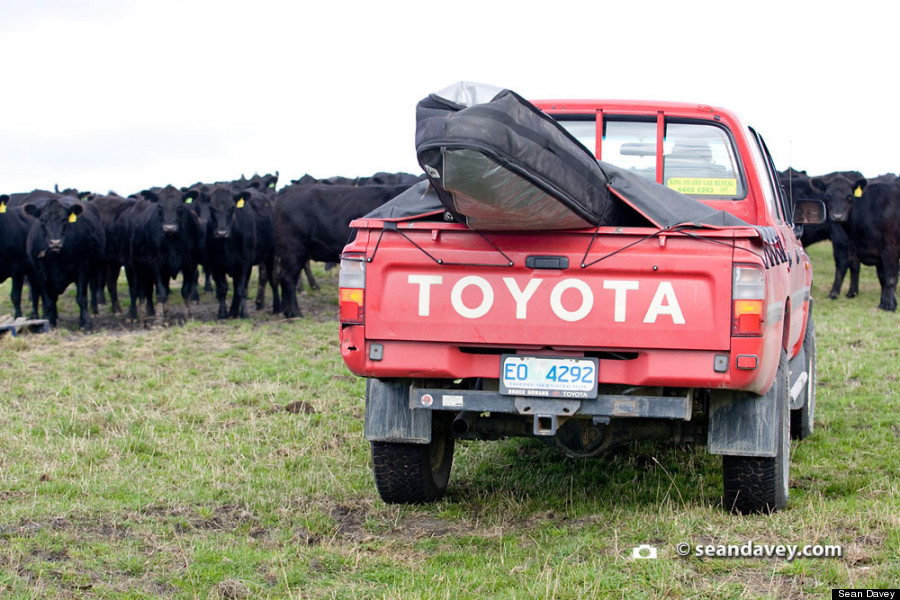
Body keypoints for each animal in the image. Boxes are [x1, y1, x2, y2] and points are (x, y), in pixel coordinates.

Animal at [23, 196, 105, 328]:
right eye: (43, 220)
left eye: (64, 220)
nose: (55, 243)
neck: (57, 260)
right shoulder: (39, 273)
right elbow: (48, 301)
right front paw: (48, 323)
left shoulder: (83, 268)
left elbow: (81, 298)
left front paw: (87, 323)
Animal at [207, 186, 280, 318]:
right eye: (211, 208)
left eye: (232, 208)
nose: (221, 233)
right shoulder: (215, 264)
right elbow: (222, 288)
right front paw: (222, 313)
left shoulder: (246, 263)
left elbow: (242, 288)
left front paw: (244, 313)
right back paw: (232, 311)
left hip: (272, 253)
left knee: (273, 280)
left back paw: (277, 307)